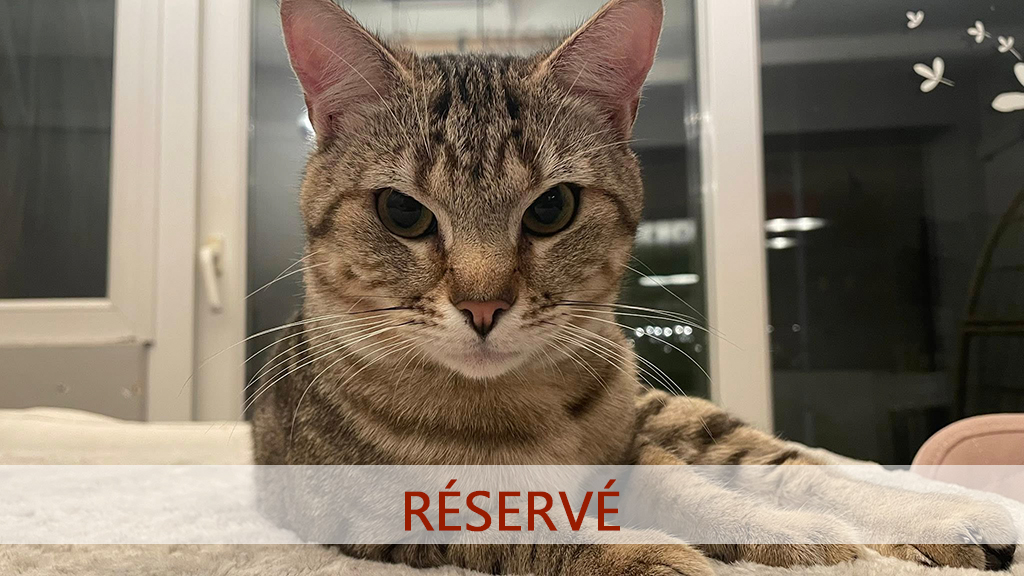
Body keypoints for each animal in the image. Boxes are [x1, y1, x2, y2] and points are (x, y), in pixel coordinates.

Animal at [251, 0, 1017, 573]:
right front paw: (653, 554)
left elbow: (711, 493)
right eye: (402, 212)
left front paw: (793, 532)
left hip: (675, 415)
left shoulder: (635, 449)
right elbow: (528, 533)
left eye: (552, 208)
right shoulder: (383, 513)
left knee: (794, 463)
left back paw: (938, 515)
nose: (482, 306)